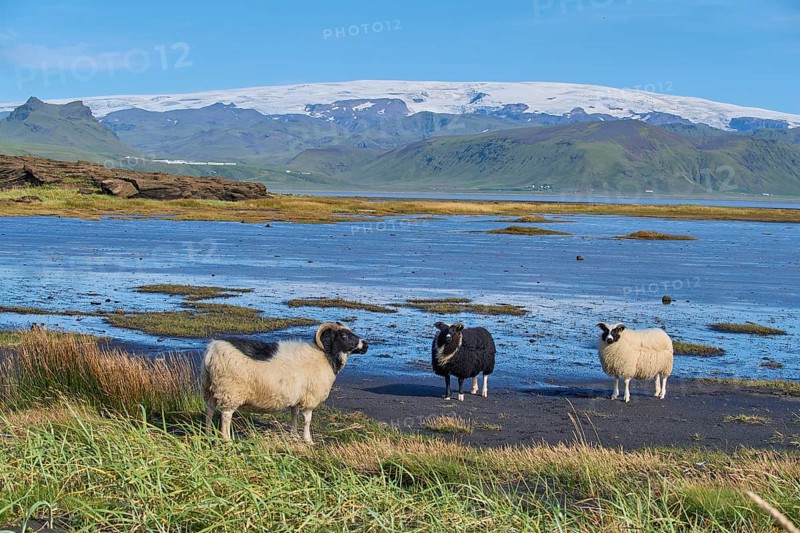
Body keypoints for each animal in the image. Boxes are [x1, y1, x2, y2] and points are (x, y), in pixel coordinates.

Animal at [202, 322, 368, 443]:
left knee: (210, 409)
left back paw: (208, 432)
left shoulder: (297, 396)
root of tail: (211, 352)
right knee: (226, 415)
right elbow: (307, 420)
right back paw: (227, 440)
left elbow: (294, 414)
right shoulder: (309, 398)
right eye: (344, 335)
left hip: (211, 387)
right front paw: (308, 440)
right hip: (231, 391)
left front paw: (294, 435)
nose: (365, 345)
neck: (326, 356)